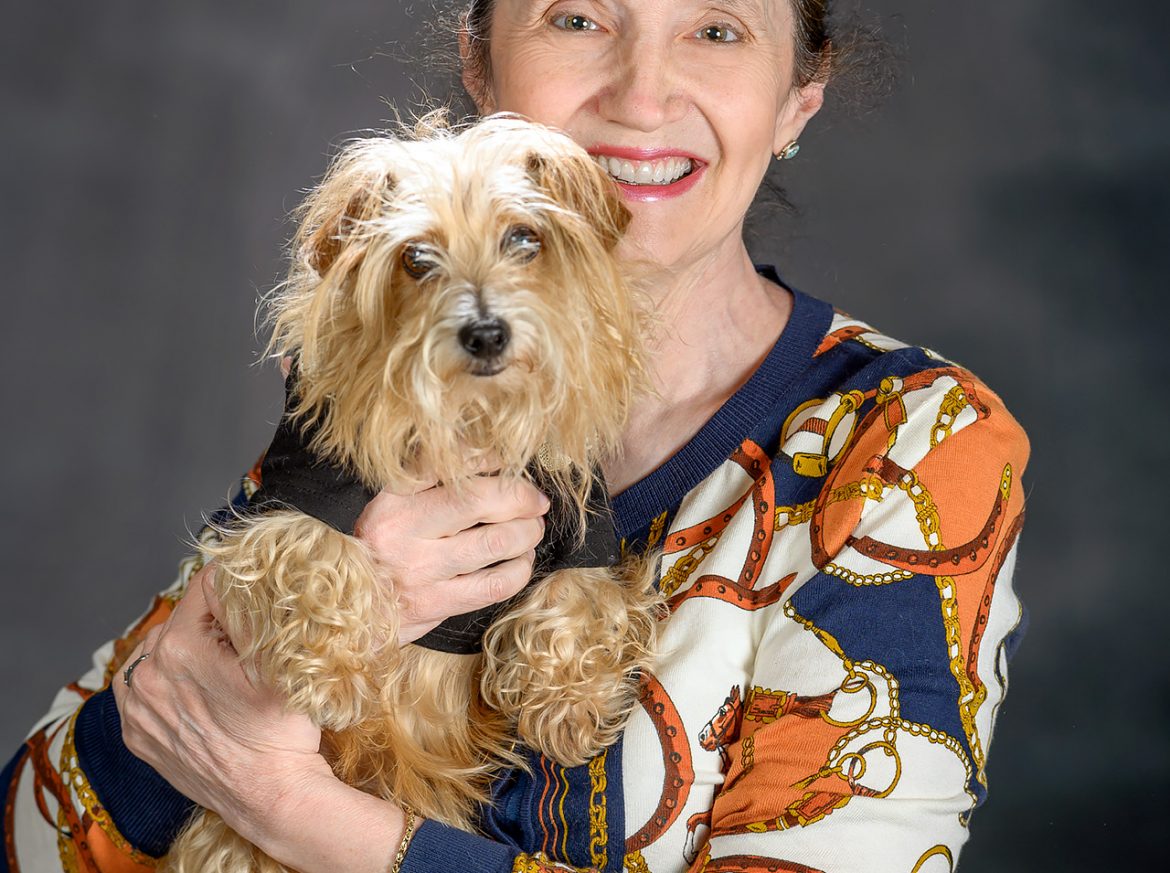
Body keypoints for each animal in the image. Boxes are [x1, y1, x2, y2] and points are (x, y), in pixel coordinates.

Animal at [160, 112, 663, 873]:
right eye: (419, 258)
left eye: (524, 238)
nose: (485, 332)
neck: (468, 419)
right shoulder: (308, 486)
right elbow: (313, 558)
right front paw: (333, 677)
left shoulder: (581, 519)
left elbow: (578, 601)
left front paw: (570, 708)